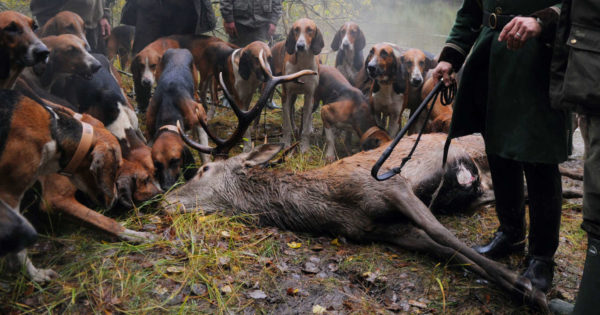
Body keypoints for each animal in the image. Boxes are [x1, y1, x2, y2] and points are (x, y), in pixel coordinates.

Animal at [162, 53, 552, 312]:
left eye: (203, 171)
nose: (165, 200)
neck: (335, 205)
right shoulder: (384, 229)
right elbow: (445, 250)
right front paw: (519, 287)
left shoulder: (392, 186)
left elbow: (446, 236)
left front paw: (528, 288)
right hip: (477, 184)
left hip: (479, 151)